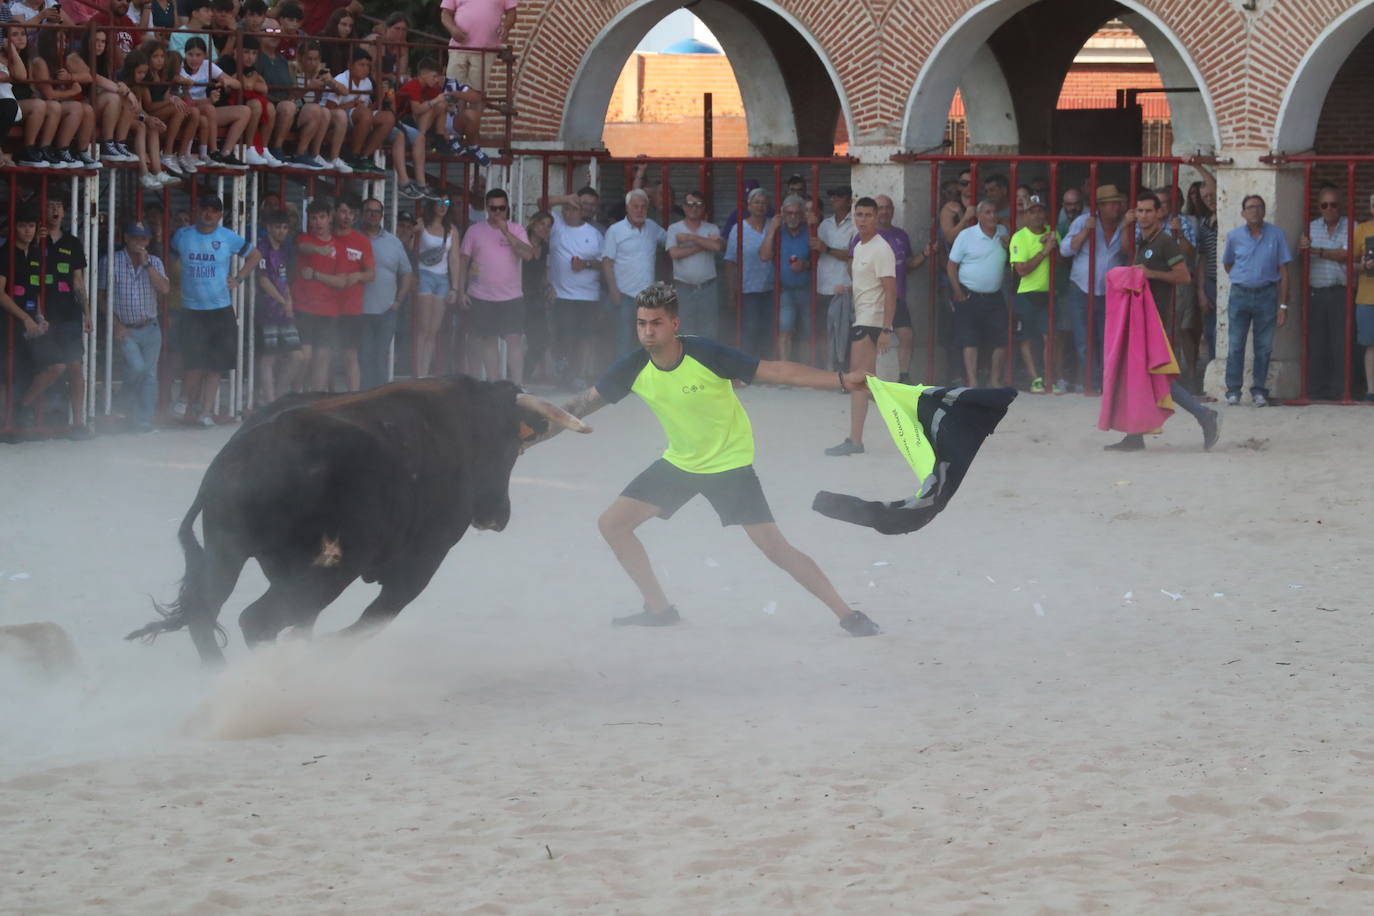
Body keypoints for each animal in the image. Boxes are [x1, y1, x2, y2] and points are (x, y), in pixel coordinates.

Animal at [129, 376, 596, 661]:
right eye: (510, 449)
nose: (498, 515)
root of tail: (237, 459)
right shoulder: (424, 557)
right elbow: (378, 616)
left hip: (229, 554)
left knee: (207, 612)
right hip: (330, 568)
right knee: (257, 620)